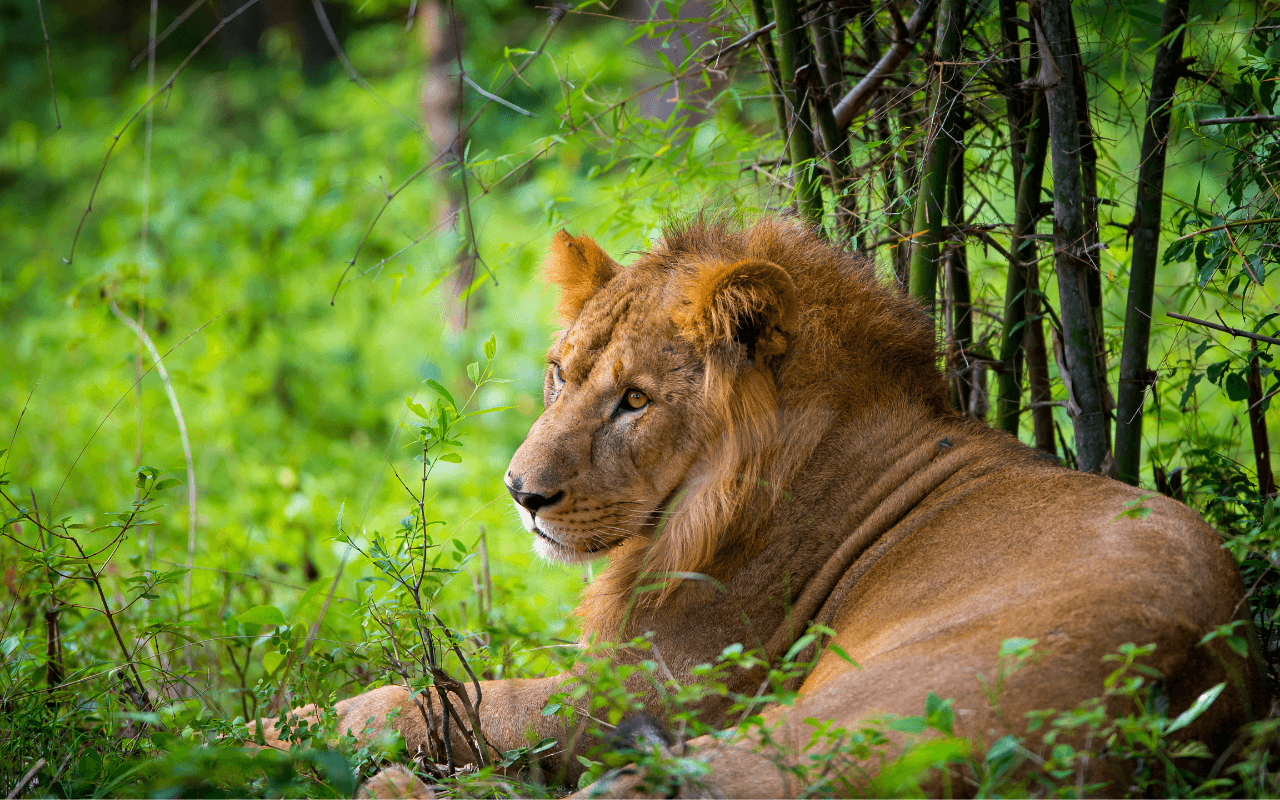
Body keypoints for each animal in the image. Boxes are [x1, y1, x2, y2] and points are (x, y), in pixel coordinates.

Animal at [259, 216, 1265, 796]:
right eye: (559, 374)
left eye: (635, 400)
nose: (521, 494)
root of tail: (1174, 691)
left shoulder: (655, 686)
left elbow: (443, 701)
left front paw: (275, 731)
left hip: (845, 714)